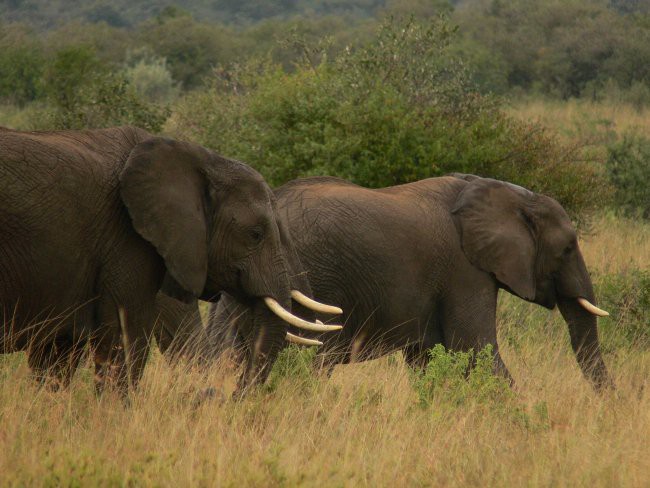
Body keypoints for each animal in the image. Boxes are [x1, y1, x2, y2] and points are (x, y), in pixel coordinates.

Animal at [0, 127, 342, 394]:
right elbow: (124, 344)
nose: (226, 395)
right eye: (255, 234)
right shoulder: (126, 241)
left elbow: (56, 357)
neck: (201, 159)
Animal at [208, 173, 612, 390]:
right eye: (567, 248)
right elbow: (475, 348)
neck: (511, 194)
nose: (611, 404)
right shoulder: (464, 270)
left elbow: (427, 360)